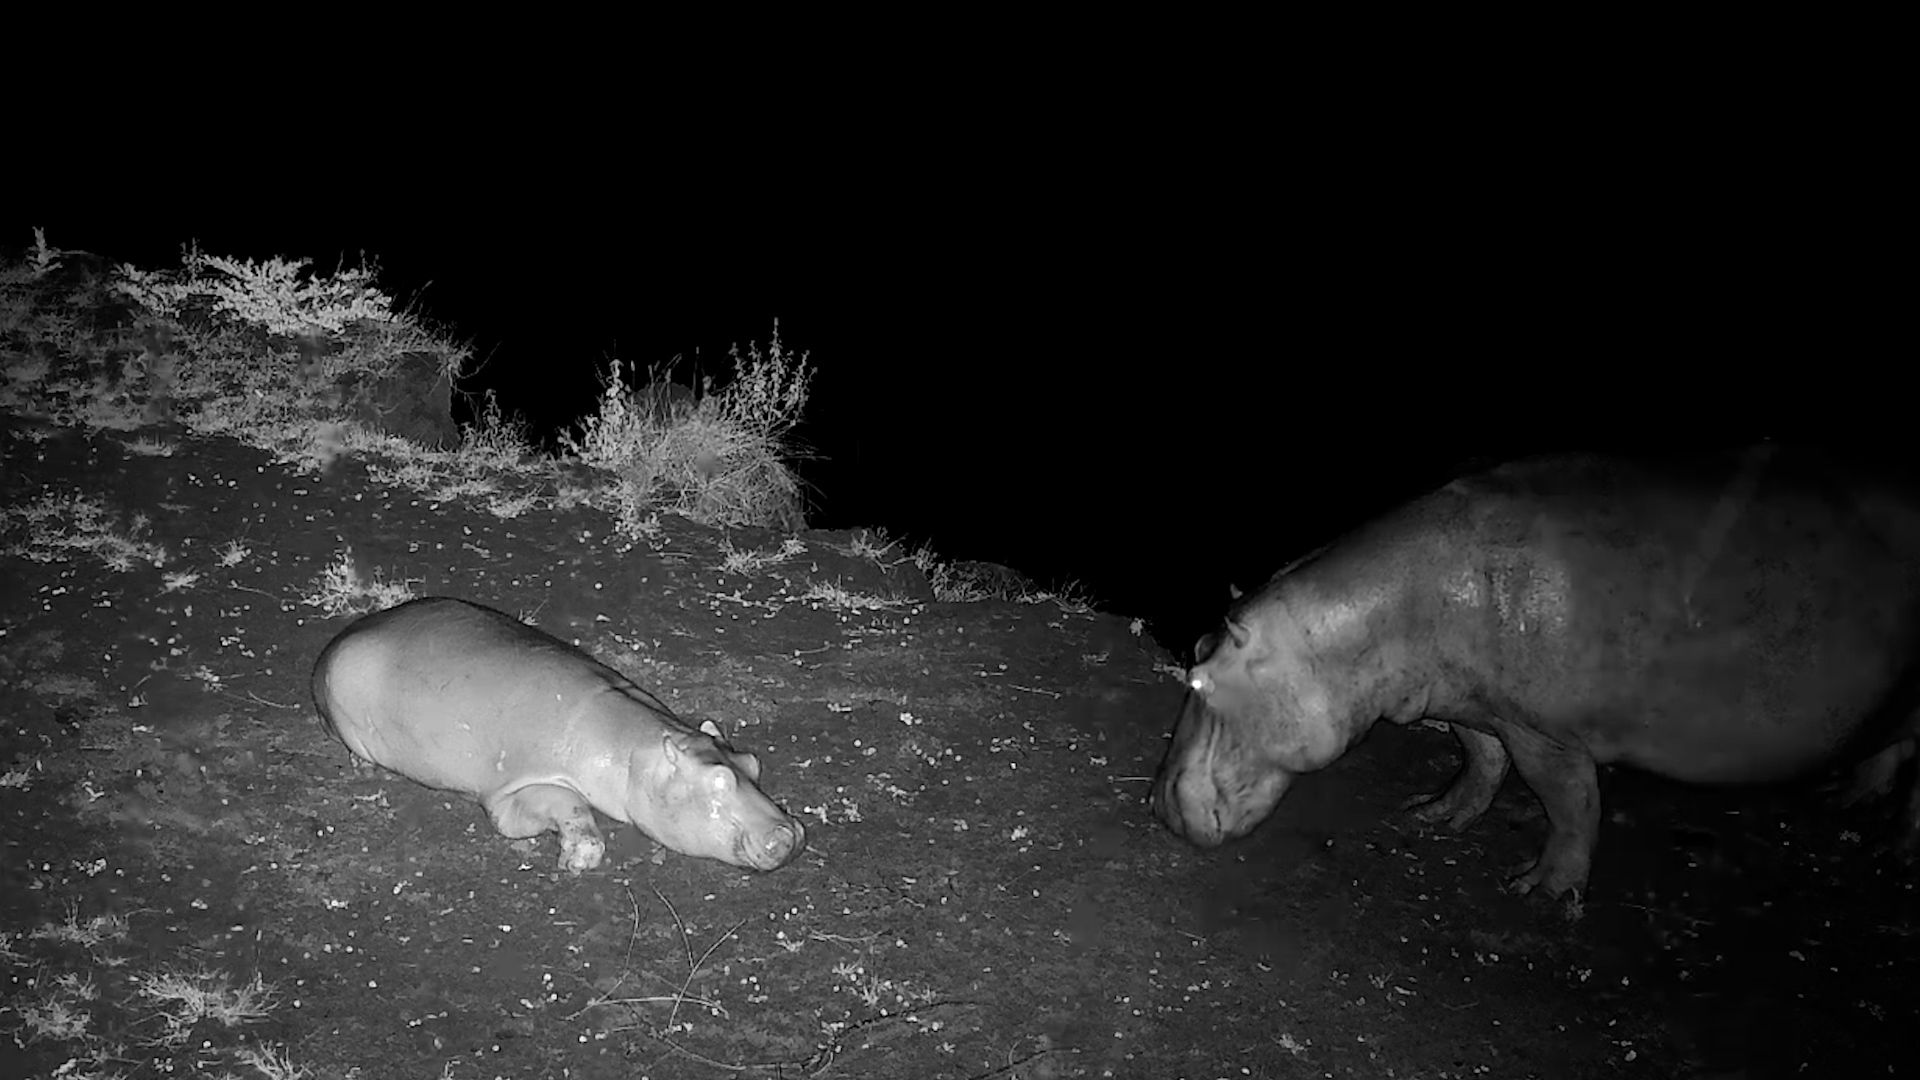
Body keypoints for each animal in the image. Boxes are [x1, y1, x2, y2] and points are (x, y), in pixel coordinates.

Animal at [312, 597, 806, 874]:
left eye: (753, 763)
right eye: (717, 782)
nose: (787, 834)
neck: (636, 752)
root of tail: (338, 642)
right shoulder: (513, 789)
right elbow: (564, 803)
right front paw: (578, 859)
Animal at [1151, 446, 1920, 899]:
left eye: (1197, 673)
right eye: (1191, 648)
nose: (1156, 805)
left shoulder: (1546, 733)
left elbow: (1571, 804)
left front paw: (1536, 890)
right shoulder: (1474, 701)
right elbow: (1480, 764)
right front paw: (1431, 816)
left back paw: (1895, 849)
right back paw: (1850, 800)